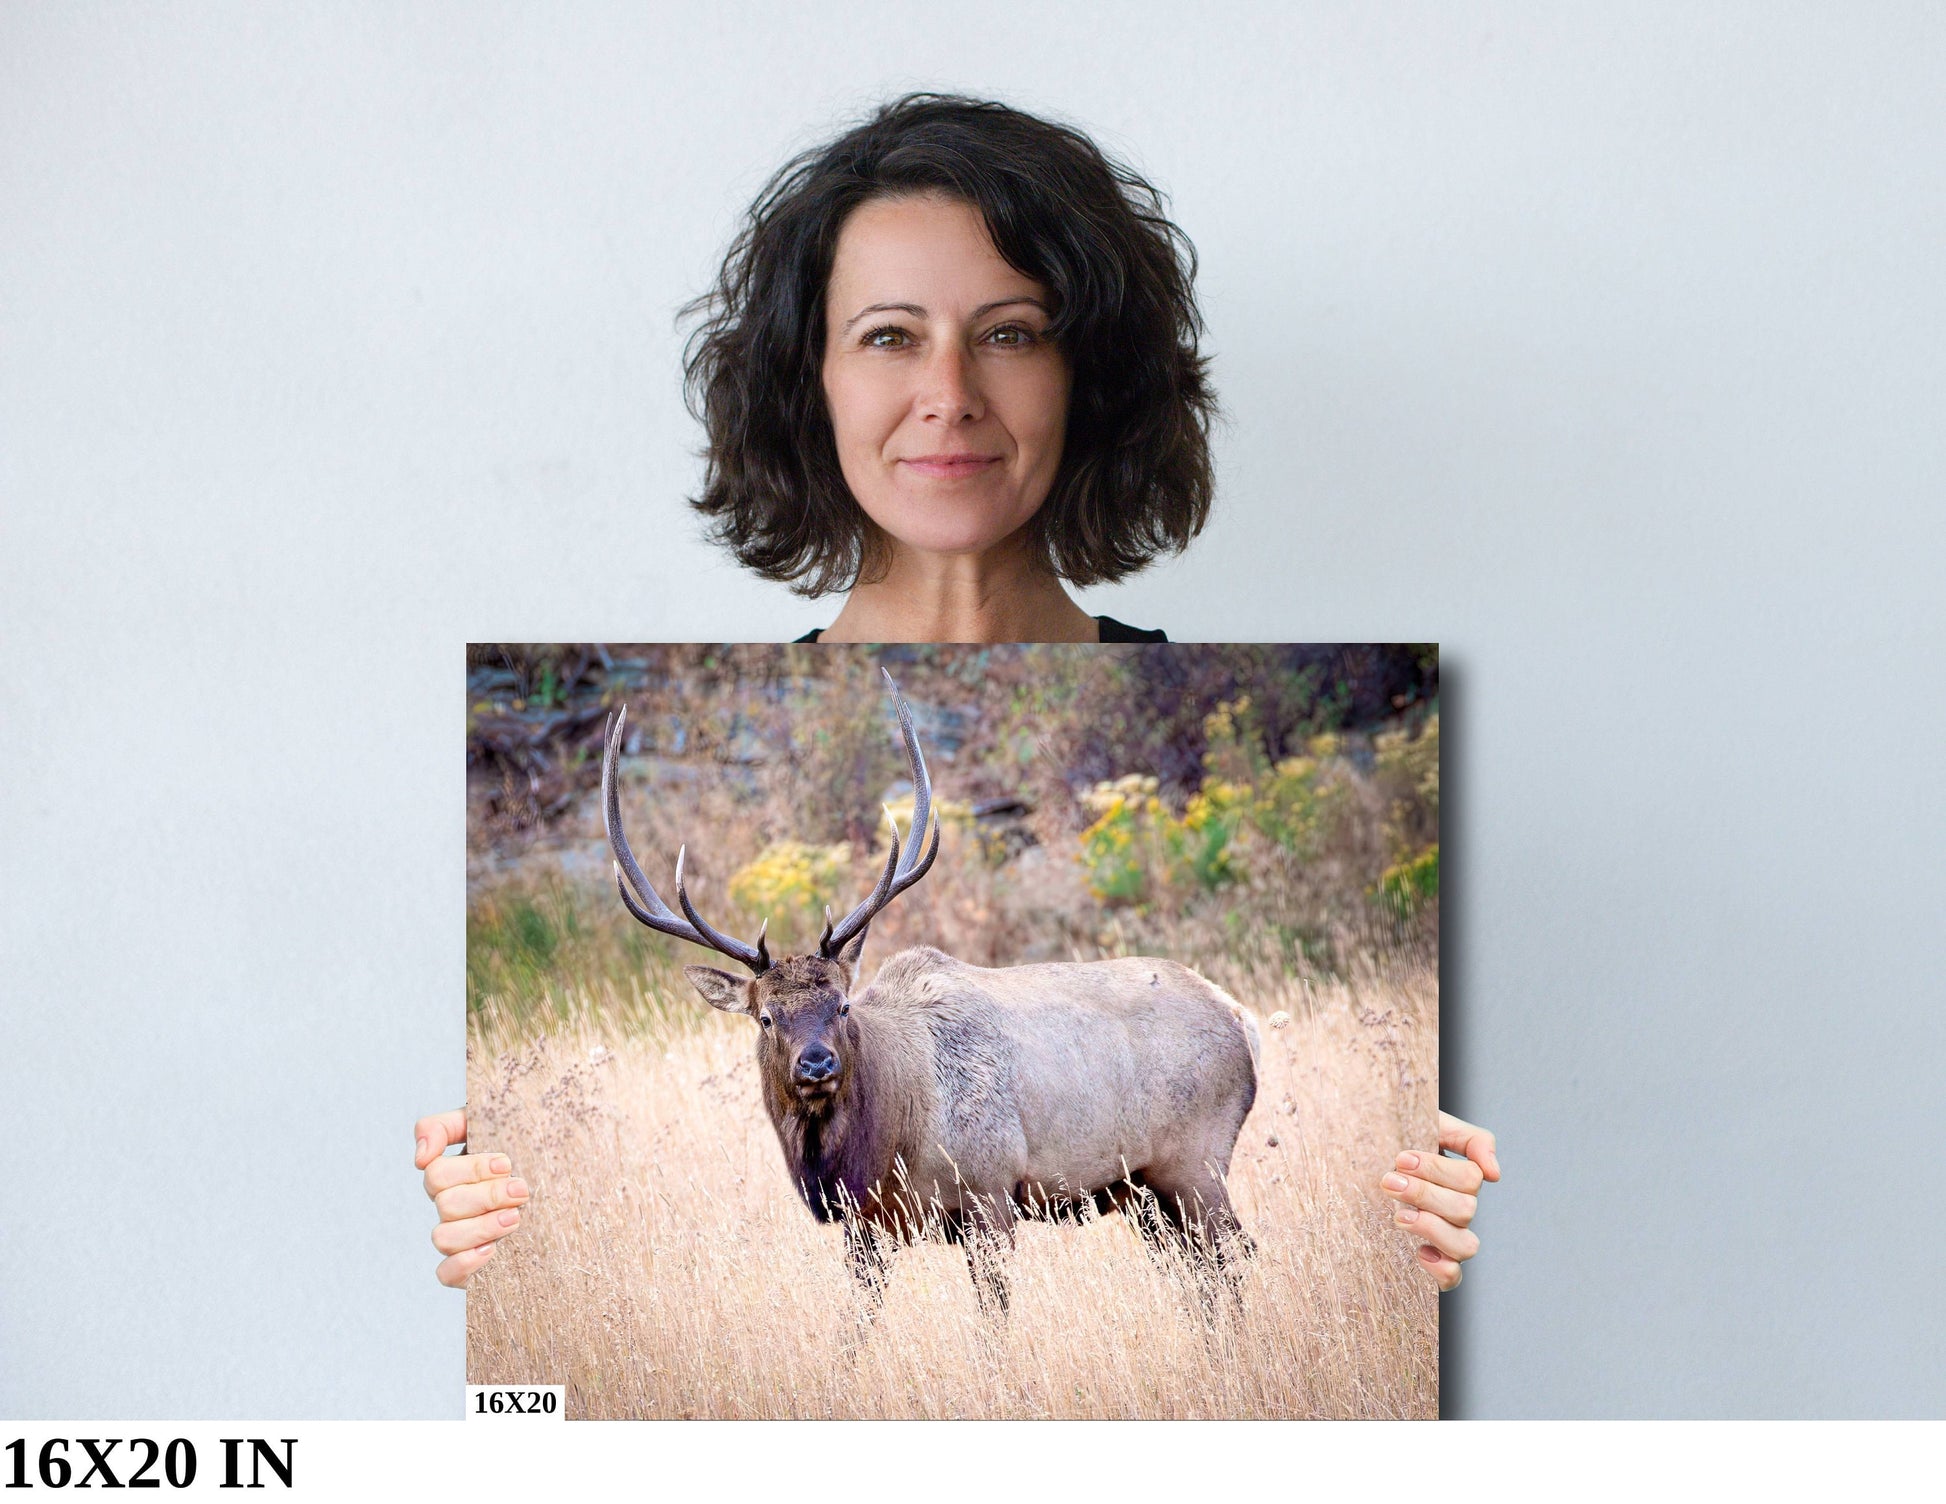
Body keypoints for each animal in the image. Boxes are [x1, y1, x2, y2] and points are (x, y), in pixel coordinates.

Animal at [595, 669, 1261, 1315]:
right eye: (765, 1017)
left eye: (842, 1006)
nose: (817, 1064)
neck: (881, 1144)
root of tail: (1240, 1016)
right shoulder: (866, 1227)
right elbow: (857, 1322)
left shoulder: (991, 1191)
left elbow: (993, 1319)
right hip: (1143, 1189)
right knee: (1202, 1275)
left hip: (1195, 1161)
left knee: (1235, 1257)